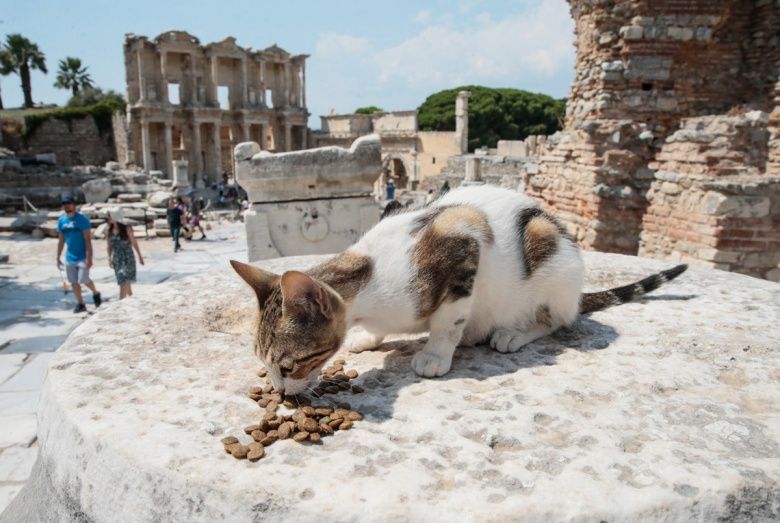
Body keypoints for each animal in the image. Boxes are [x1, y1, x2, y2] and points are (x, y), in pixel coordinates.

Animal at [229, 183, 684, 392]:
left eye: (288, 366)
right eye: (264, 364)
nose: (280, 393)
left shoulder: (463, 234)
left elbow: (448, 319)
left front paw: (435, 354)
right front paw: (368, 337)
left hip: (550, 256)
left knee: (558, 319)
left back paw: (512, 332)